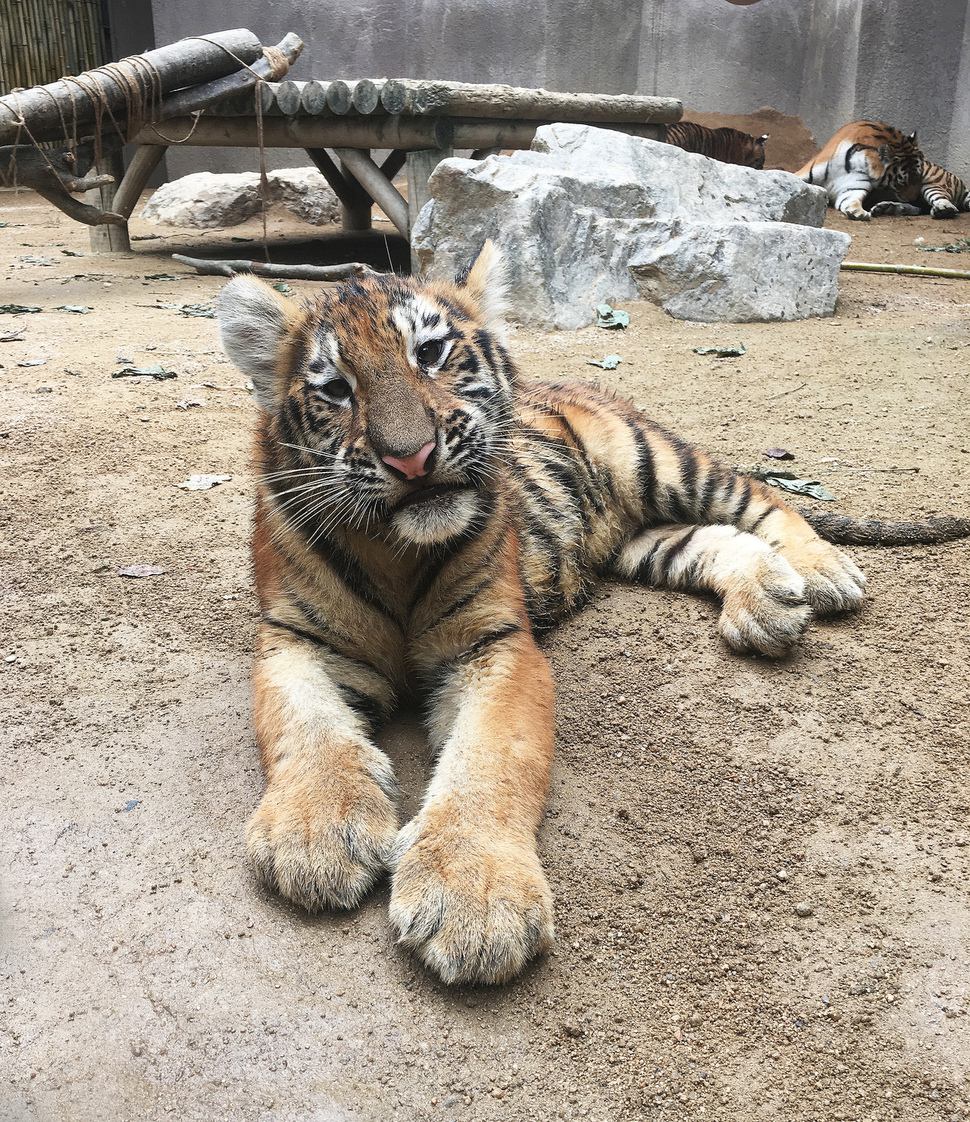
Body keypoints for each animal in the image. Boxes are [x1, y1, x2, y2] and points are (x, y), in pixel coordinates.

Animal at [217, 245, 968, 982]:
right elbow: (303, 724)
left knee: (761, 494)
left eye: (430, 353)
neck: (396, 549)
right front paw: (316, 836)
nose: (412, 458)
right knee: (715, 541)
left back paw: (820, 572)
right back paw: (767, 605)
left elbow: (489, 756)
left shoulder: (497, 645)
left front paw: (473, 897)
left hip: (658, 462)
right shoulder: (294, 639)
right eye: (336, 389)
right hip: (645, 543)